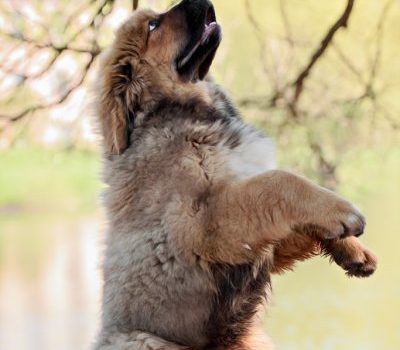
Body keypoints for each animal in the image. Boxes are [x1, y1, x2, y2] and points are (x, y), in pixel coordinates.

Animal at [95, 1, 376, 348]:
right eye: (153, 26)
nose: (202, 1)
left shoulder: (259, 237)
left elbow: (291, 212)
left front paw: (352, 249)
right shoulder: (204, 221)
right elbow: (279, 182)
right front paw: (341, 212)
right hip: (145, 340)